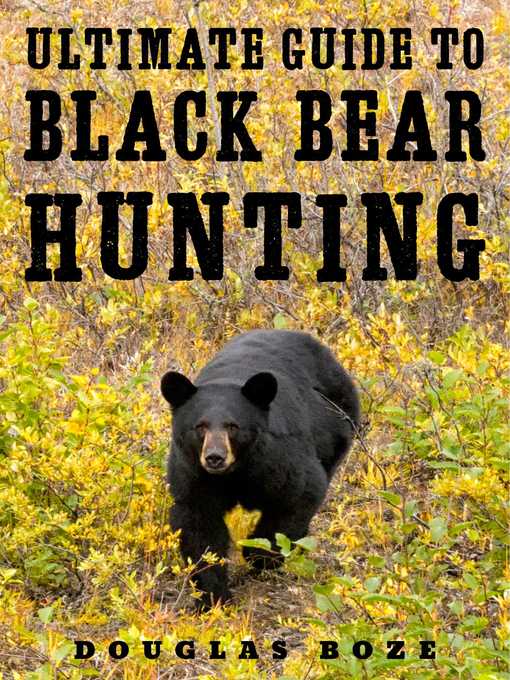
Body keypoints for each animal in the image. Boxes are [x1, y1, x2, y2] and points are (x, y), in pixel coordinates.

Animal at [161, 329, 360, 609]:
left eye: (233, 426)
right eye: (200, 427)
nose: (214, 457)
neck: (235, 473)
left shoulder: (277, 457)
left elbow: (298, 496)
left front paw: (259, 554)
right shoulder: (192, 472)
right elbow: (199, 525)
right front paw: (213, 596)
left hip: (338, 423)